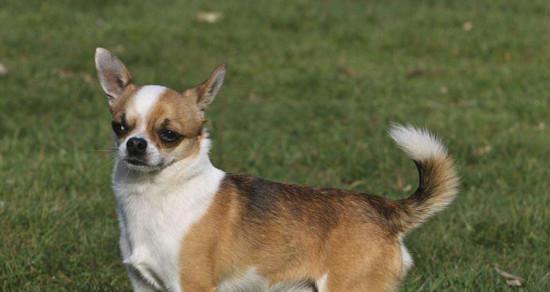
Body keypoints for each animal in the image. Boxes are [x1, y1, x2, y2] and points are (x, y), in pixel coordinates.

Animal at [96, 48, 462, 292]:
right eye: (119, 126)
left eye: (169, 134)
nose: (136, 145)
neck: (155, 193)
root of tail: (384, 209)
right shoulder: (144, 285)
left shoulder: (190, 285)